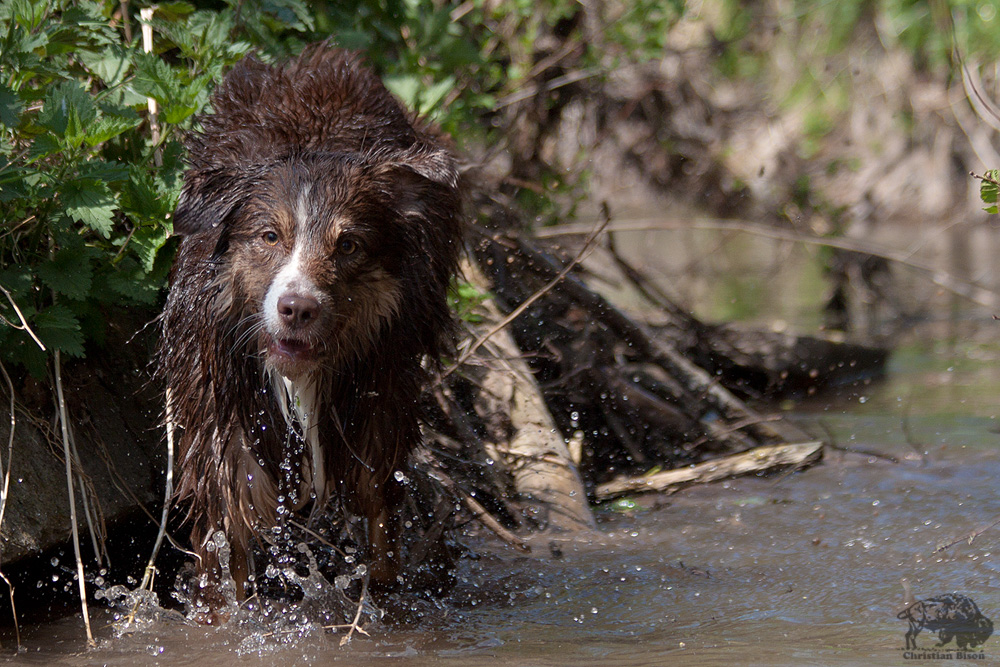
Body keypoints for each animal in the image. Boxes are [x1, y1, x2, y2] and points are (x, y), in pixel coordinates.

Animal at [159, 44, 460, 612]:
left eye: (349, 245)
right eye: (269, 236)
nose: (296, 308)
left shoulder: (380, 396)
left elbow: (378, 514)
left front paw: (383, 600)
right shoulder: (222, 416)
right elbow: (226, 533)